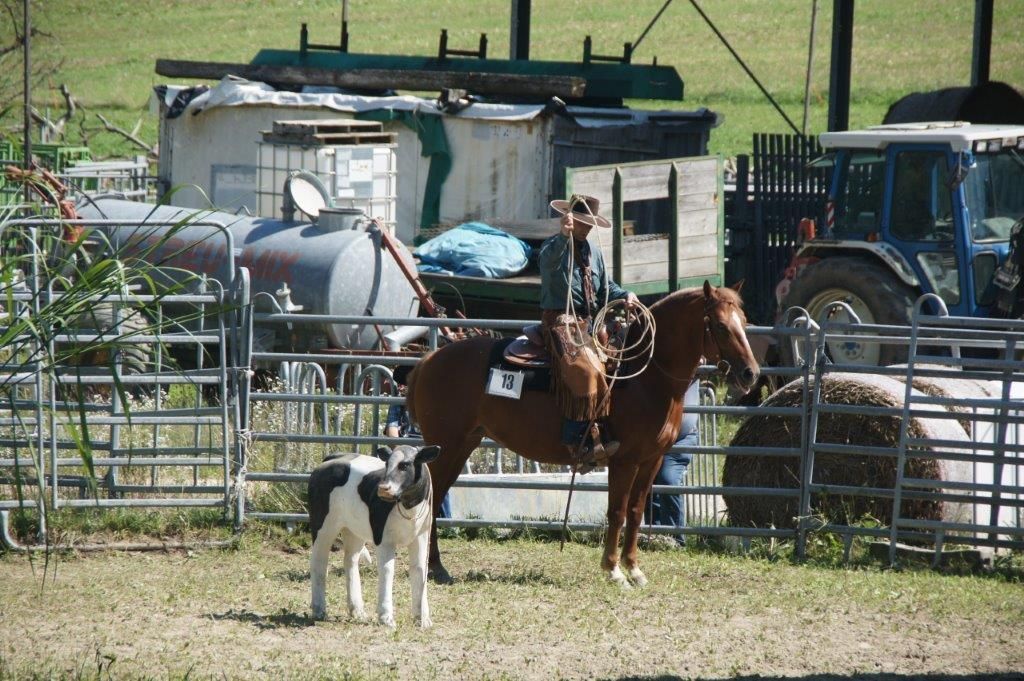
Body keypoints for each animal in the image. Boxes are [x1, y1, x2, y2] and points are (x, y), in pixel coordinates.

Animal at [407, 281, 760, 587]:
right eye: (720, 325)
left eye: (743, 321)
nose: (750, 373)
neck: (646, 377)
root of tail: (428, 360)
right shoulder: (624, 461)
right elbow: (616, 512)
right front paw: (614, 571)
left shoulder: (652, 459)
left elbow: (635, 512)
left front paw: (634, 569)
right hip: (448, 446)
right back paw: (434, 567)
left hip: (463, 445)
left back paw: (436, 567)